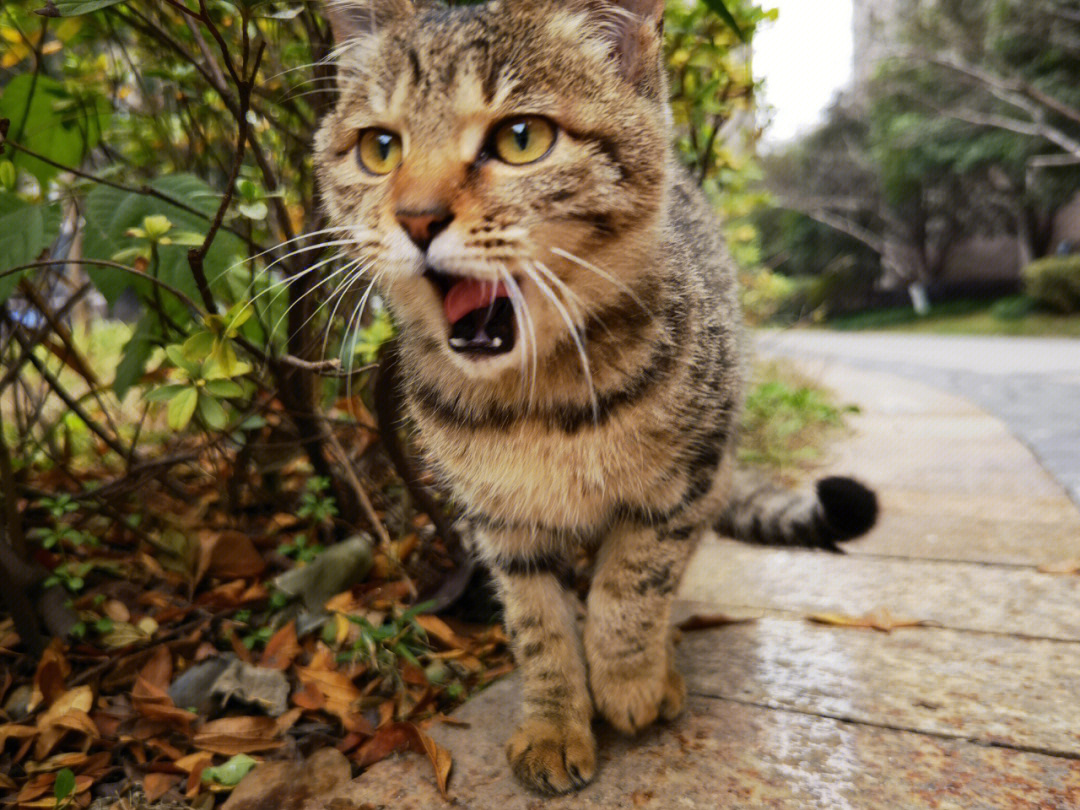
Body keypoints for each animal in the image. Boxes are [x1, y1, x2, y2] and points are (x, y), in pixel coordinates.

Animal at [315, 0, 876, 794]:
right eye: (380, 148)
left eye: (521, 138)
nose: (417, 218)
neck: (538, 400)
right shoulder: (501, 524)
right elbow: (539, 626)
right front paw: (555, 723)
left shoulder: (682, 485)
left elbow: (631, 586)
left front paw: (629, 681)